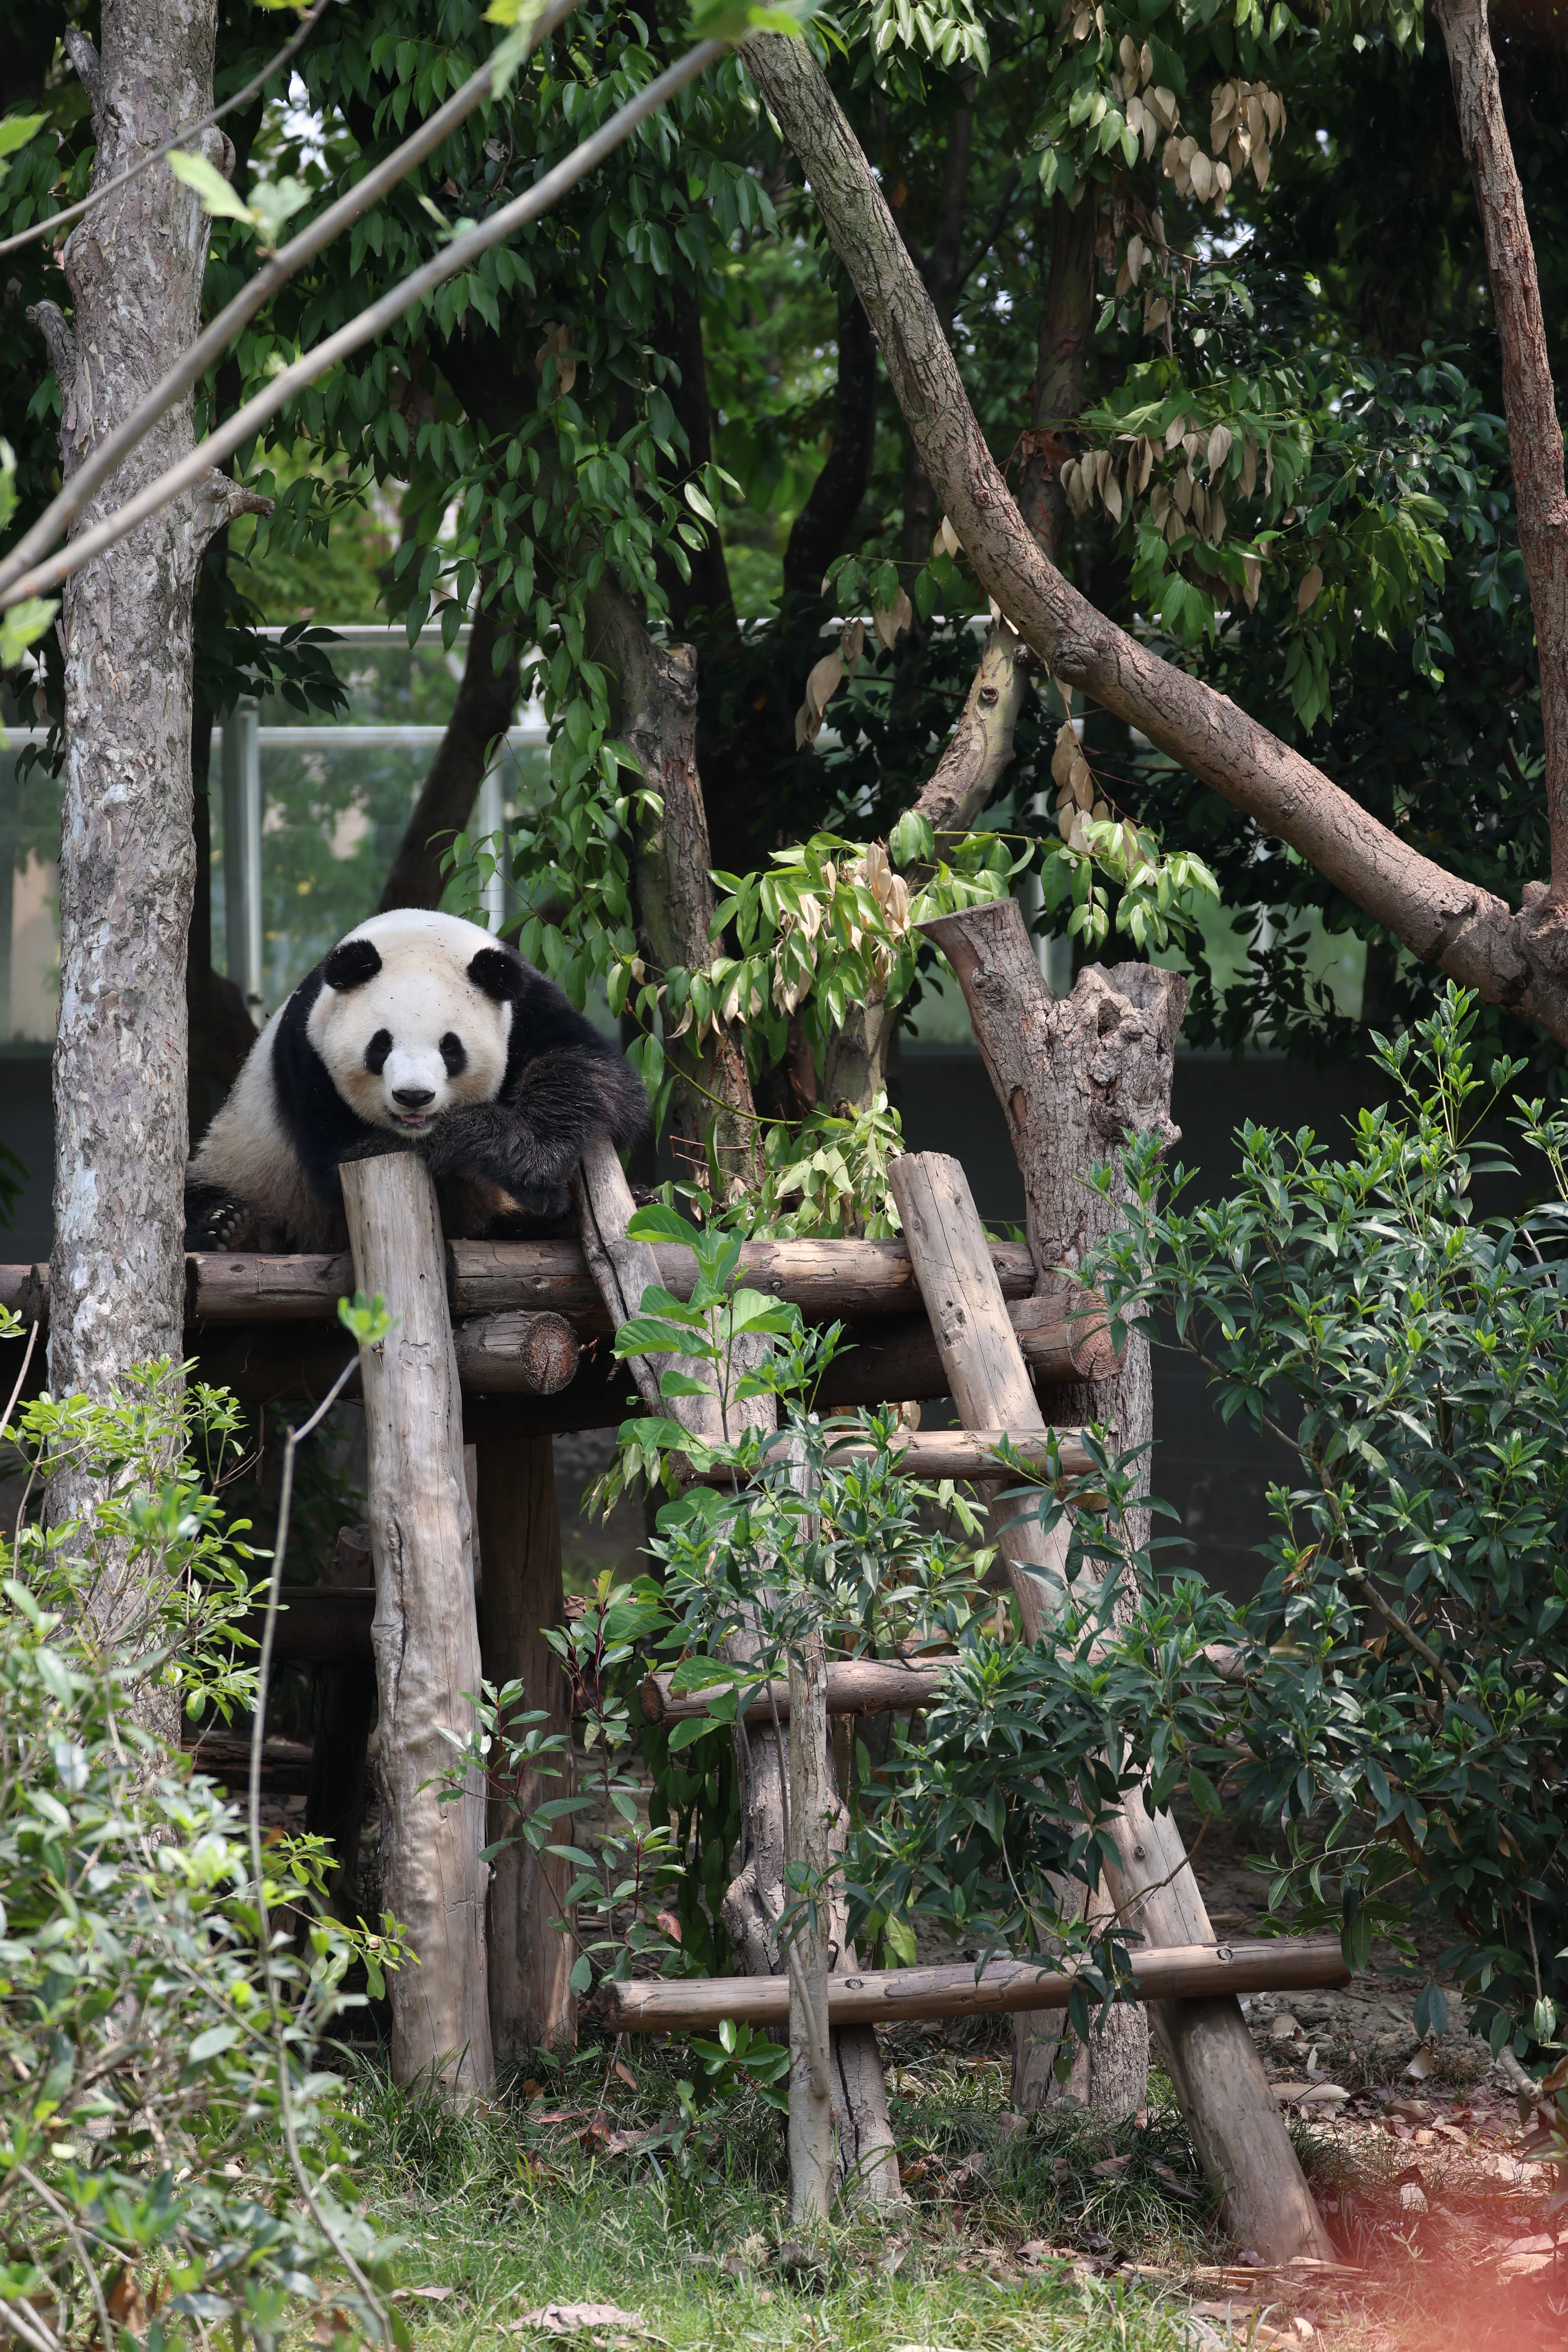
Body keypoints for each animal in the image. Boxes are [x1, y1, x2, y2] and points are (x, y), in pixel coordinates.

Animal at [185, 908, 648, 1252]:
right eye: (380, 1045)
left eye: (450, 1047)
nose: (413, 1096)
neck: (415, 936)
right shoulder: (307, 1058)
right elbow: (346, 1157)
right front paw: (534, 1186)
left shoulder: (528, 1005)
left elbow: (591, 1074)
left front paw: (534, 1165)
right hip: (249, 1168)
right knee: (198, 1195)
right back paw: (230, 1228)